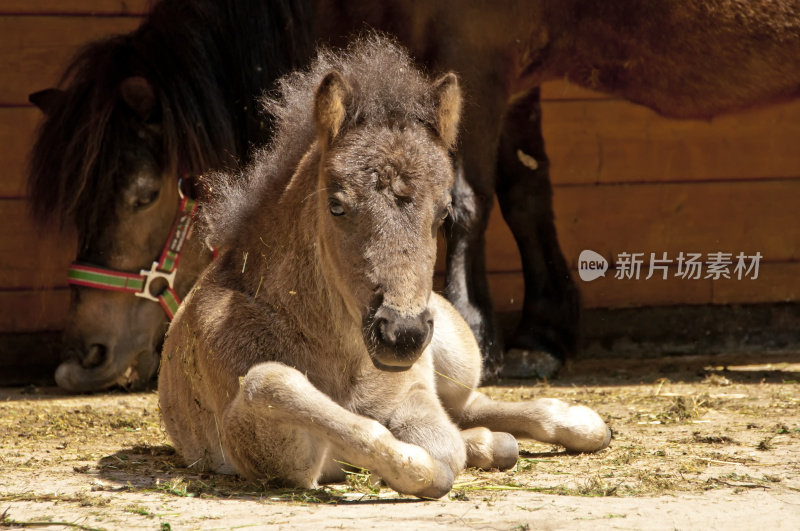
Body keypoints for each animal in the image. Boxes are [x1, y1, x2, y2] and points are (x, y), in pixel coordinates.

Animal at [158, 38, 612, 498]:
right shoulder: (278, 459)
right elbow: (272, 383)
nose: (403, 334)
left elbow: (440, 444)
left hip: (458, 354)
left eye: (444, 212)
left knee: (472, 404)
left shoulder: (412, 393)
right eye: (336, 205)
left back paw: (574, 422)